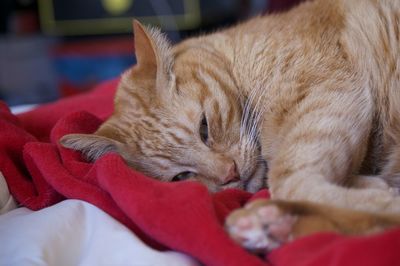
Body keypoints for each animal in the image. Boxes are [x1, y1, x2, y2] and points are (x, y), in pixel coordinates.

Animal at [61, 0, 400, 251]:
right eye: (182, 177)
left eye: (204, 128)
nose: (230, 174)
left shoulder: (330, 94)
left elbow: (292, 181)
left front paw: (378, 200)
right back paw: (268, 225)